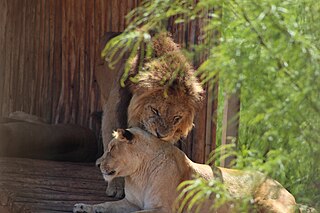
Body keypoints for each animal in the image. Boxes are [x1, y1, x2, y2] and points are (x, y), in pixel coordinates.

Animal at [74, 128, 298, 213]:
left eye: (112, 148)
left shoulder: (163, 209)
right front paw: (84, 207)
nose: (97, 164)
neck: (137, 175)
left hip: (266, 202)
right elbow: (106, 205)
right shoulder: (131, 202)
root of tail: (282, 186)